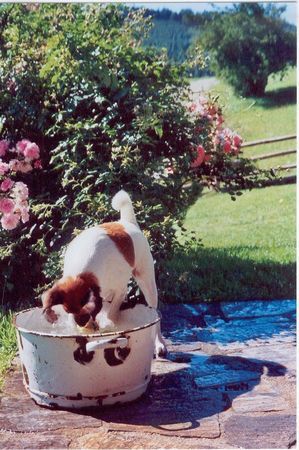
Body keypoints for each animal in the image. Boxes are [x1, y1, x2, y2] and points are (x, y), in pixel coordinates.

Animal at [42, 190, 168, 356]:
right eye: (67, 309)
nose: (81, 323)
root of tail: (125, 222)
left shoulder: (120, 291)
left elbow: (111, 313)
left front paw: (109, 324)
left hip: (147, 284)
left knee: (155, 316)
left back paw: (159, 343)